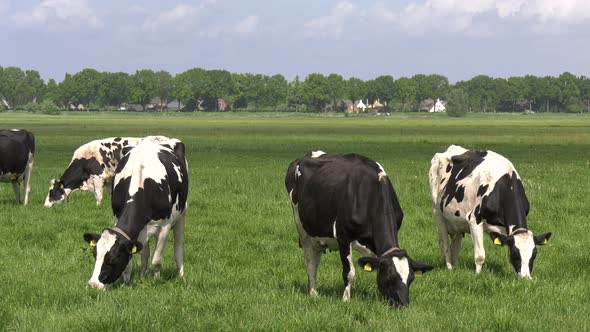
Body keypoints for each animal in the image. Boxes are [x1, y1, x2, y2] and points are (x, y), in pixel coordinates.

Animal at [83, 137, 188, 288]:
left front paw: (156, 281)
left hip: (182, 214)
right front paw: (128, 282)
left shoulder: (165, 226)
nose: (93, 285)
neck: (141, 184)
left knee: (178, 249)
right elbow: (134, 260)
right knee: (145, 253)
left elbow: (156, 261)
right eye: (95, 255)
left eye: (113, 259)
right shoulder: (119, 219)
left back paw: (181, 276)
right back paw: (143, 275)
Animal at [286, 152, 434, 308]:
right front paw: (346, 299)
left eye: (411, 278)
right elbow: (349, 272)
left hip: (318, 235)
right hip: (303, 230)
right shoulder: (343, 237)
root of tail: (304, 156)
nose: (404, 305)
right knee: (310, 262)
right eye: (389, 277)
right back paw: (313, 293)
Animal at [430, 145, 552, 278]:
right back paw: (450, 268)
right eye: (515, 254)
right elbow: (480, 256)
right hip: (438, 212)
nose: (526, 278)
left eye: (534, 255)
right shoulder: (474, 219)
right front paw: (477, 275)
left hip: (456, 219)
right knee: (445, 245)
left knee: (455, 245)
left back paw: (456, 267)